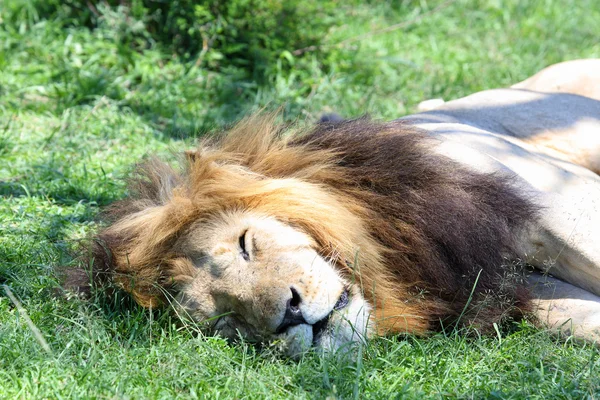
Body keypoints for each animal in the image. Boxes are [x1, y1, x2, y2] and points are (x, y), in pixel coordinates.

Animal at [72, 59, 600, 356]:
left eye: (247, 244)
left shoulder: (546, 210)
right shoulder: (495, 280)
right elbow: (576, 320)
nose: (288, 316)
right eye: (225, 320)